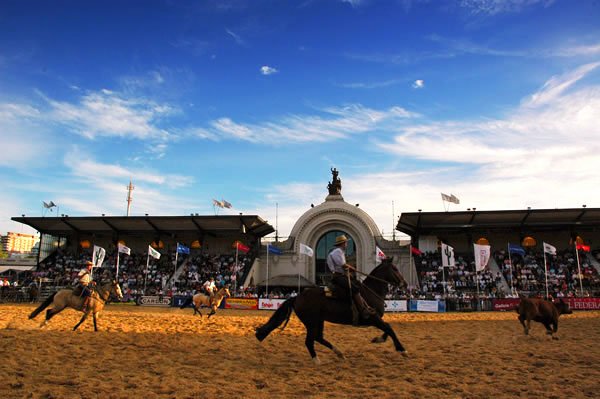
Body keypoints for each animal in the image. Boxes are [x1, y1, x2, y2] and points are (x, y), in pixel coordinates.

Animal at [255, 260, 410, 366]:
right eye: (395, 269)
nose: (405, 284)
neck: (370, 292)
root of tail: (297, 297)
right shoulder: (373, 318)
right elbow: (389, 328)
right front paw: (402, 350)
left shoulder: (377, 319)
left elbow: (388, 328)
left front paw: (378, 339)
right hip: (311, 322)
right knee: (309, 341)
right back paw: (317, 360)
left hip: (319, 320)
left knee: (318, 338)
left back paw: (339, 353)